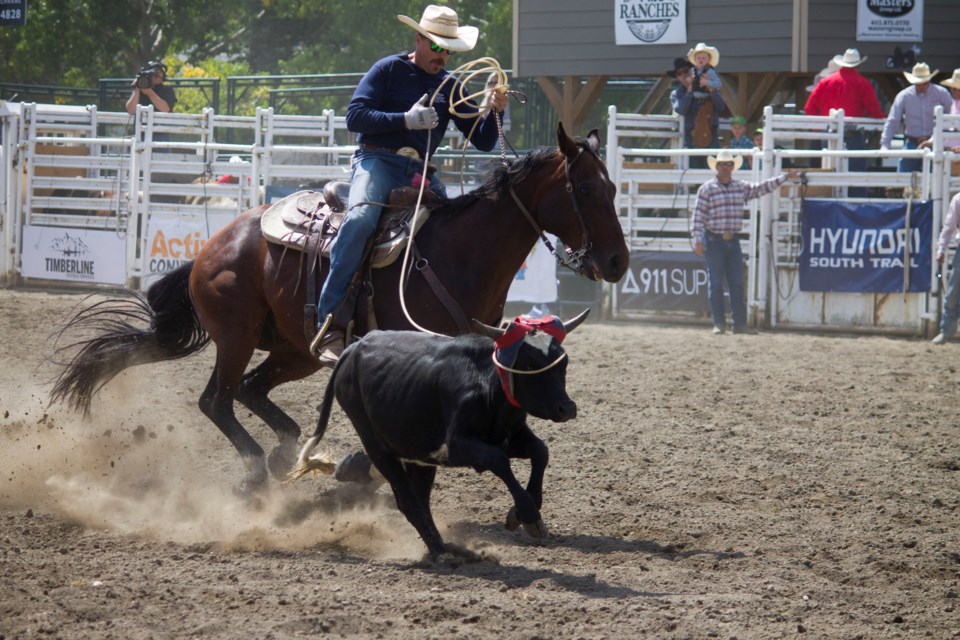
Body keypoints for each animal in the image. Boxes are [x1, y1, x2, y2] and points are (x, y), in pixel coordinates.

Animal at [56, 122, 632, 492]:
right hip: (238, 335)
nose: (618, 261)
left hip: (298, 348)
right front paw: (358, 466)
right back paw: (260, 470)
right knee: (216, 399)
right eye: (584, 187)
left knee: (250, 390)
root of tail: (211, 247)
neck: (458, 253)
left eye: (612, 186)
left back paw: (291, 453)